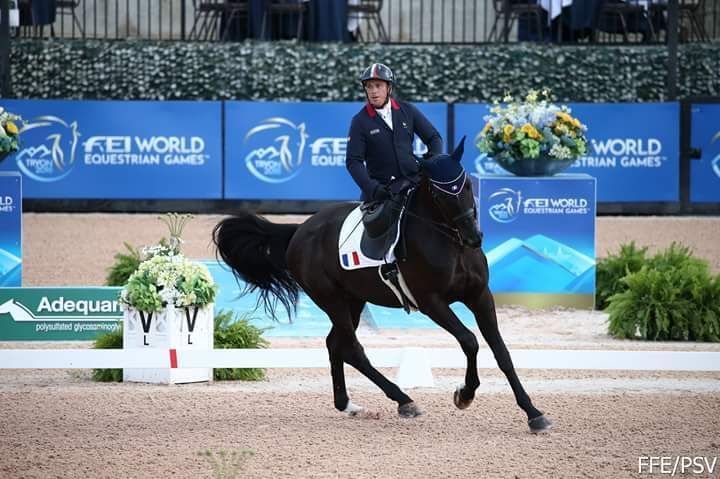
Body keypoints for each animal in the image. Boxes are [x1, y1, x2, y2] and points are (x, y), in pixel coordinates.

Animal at [213, 139, 552, 433]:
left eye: (468, 185)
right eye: (441, 195)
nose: (474, 237)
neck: (449, 242)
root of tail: (300, 230)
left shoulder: (480, 296)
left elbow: (502, 352)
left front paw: (533, 414)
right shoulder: (432, 302)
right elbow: (469, 341)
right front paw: (464, 394)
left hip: (353, 300)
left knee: (335, 344)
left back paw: (348, 405)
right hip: (331, 299)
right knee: (353, 349)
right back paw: (404, 400)